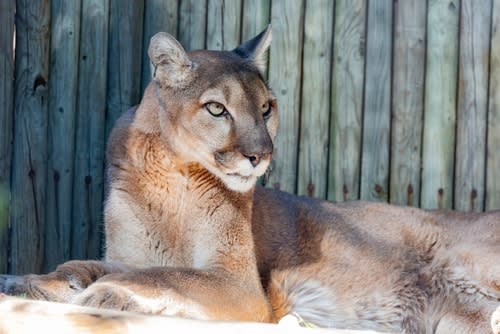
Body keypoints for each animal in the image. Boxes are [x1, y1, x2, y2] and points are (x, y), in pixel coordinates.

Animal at [0, 27, 500, 332]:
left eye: (266, 108)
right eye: (217, 108)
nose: (261, 155)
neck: (172, 178)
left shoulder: (238, 282)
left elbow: (167, 274)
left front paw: (108, 294)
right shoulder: (126, 253)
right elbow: (83, 265)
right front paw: (31, 282)